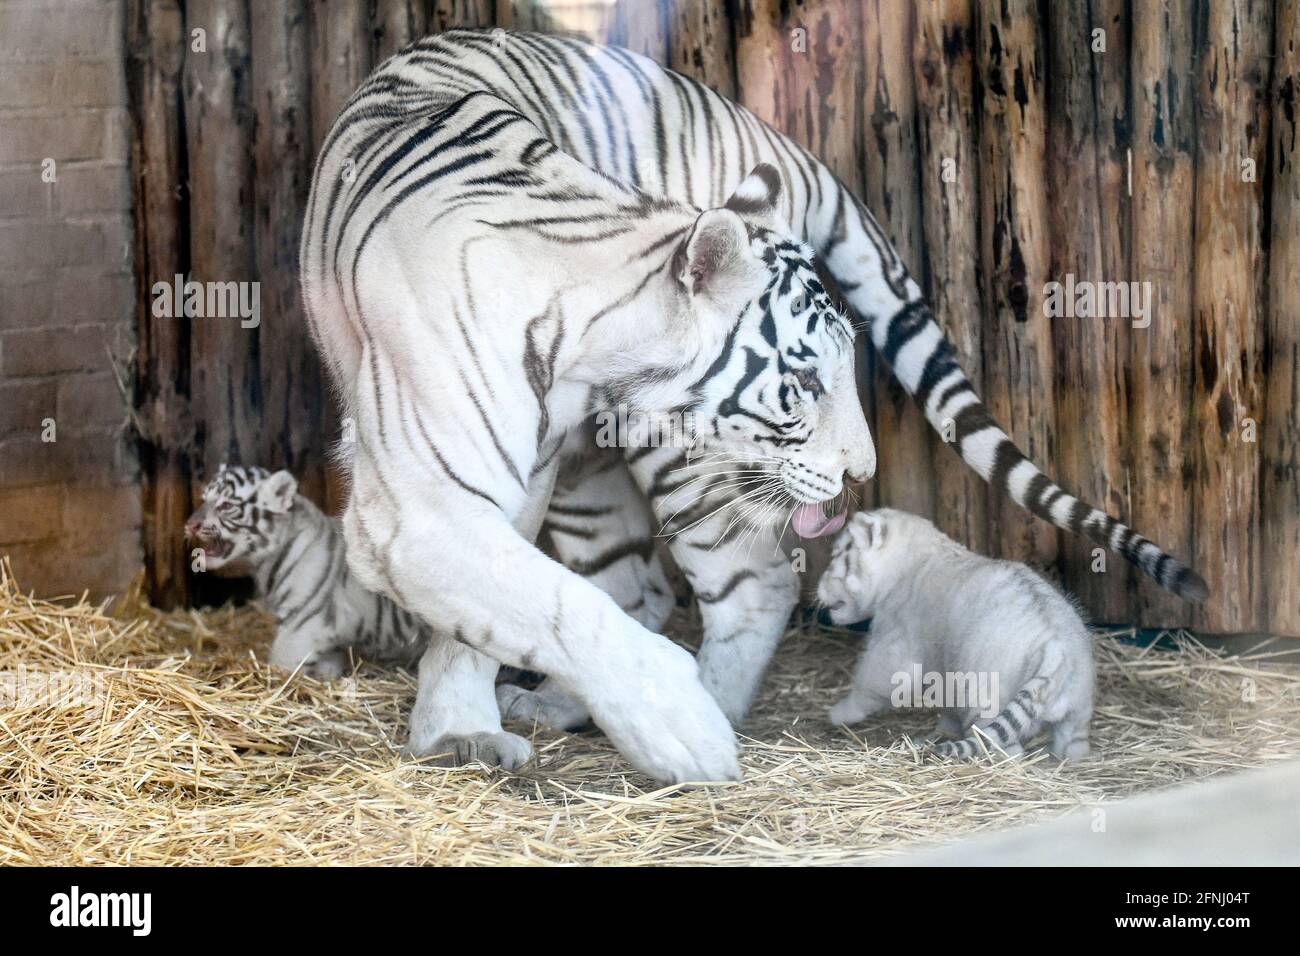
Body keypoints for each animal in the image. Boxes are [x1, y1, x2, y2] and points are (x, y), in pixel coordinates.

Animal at [816, 512, 1092, 759]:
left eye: (835, 556)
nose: (817, 587)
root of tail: (1054, 647)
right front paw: (945, 728)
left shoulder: (893, 642)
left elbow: (872, 682)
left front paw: (839, 713)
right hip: (1078, 711)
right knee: (1074, 744)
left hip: (985, 699)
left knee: (1006, 749)